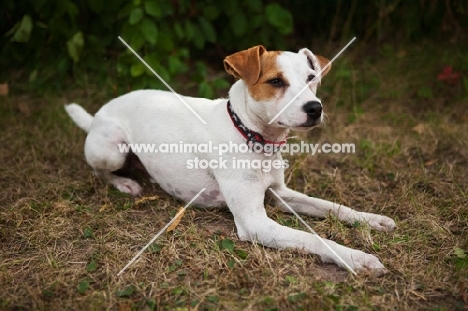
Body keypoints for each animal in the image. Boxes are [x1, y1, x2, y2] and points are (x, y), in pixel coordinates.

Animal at [65, 45, 394, 272]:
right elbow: (314, 238)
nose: (315, 108)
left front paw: (371, 220)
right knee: (99, 171)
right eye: (276, 82)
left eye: (312, 78)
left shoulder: (280, 193)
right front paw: (356, 257)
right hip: (112, 150)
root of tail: (98, 114)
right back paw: (125, 183)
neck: (252, 136)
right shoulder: (254, 222)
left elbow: (333, 207)